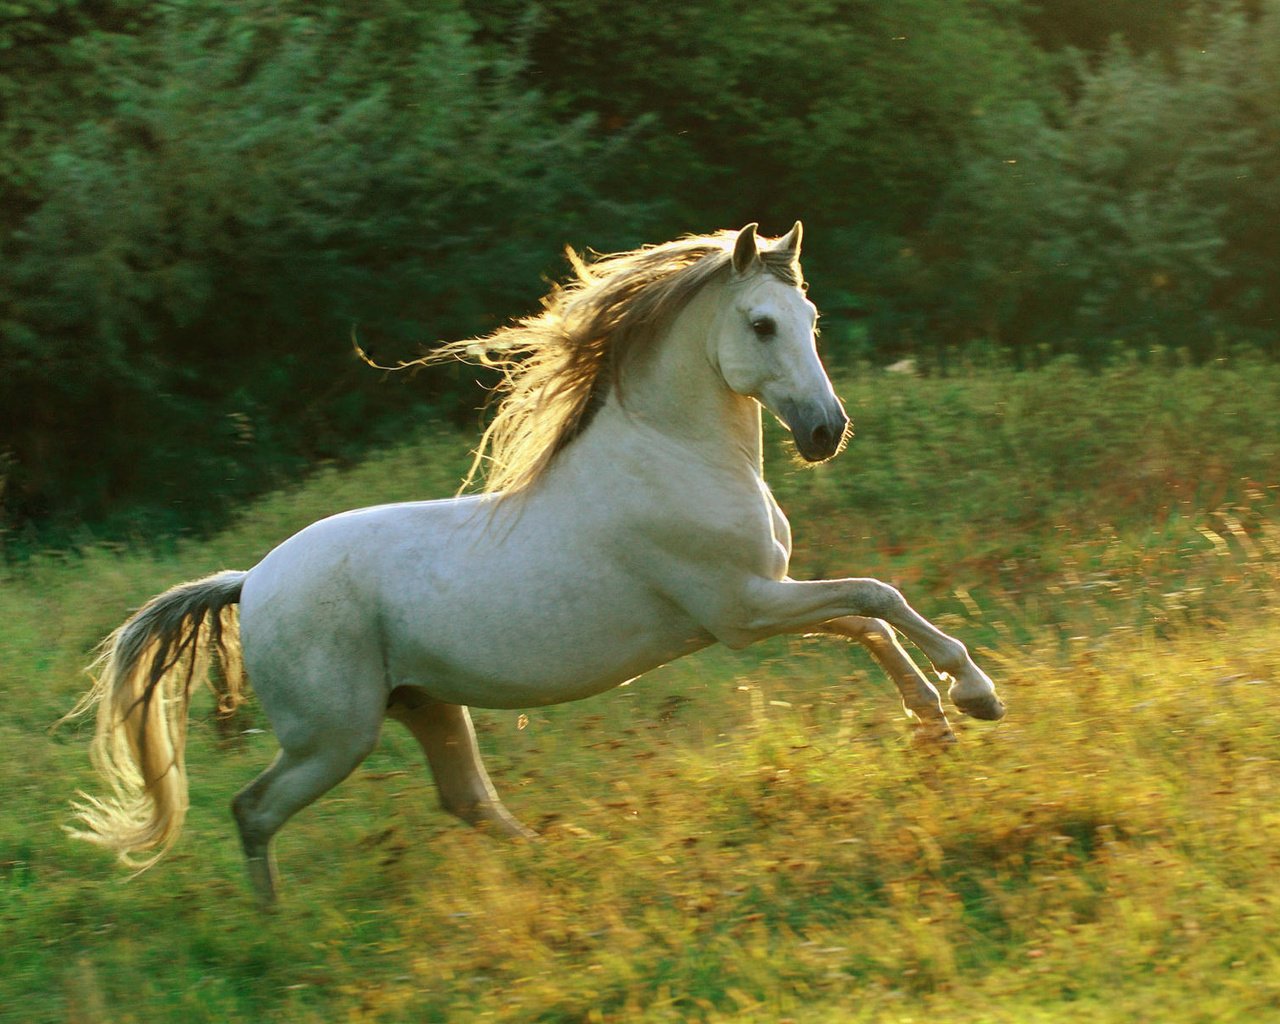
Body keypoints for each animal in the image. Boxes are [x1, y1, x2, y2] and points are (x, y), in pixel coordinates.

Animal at [70, 221, 1003, 906]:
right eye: (762, 324)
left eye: (810, 322)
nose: (825, 432)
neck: (673, 456)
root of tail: (249, 581)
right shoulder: (743, 610)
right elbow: (878, 598)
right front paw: (974, 694)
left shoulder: (761, 601)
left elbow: (868, 622)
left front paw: (935, 721)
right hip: (332, 736)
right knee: (253, 808)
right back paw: (277, 925)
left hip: (424, 704)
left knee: (466, 800)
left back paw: (566, 861)